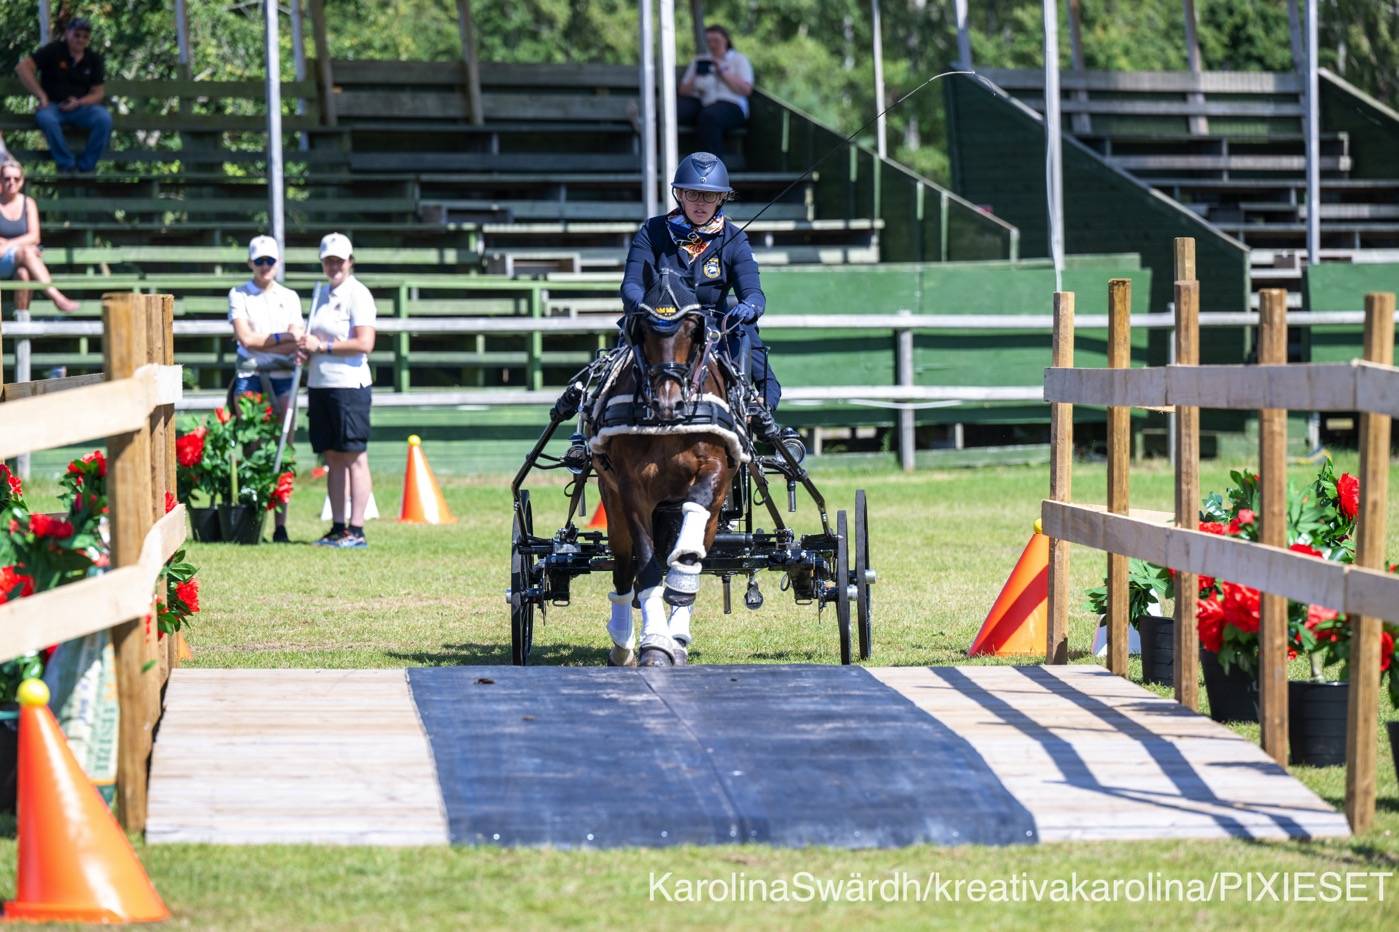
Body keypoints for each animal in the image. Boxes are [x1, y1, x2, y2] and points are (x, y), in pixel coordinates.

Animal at [587, 273, 749, 667]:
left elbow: (689, 545)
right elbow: (646, 567)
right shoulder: (632, 488)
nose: (668, 402)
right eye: (643, 331)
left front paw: (681, 582)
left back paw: (678, 631)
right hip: (612, 501)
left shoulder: (714, 473)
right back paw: (623, 644)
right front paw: (655, 643)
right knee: (623, 567)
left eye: (692, 330)